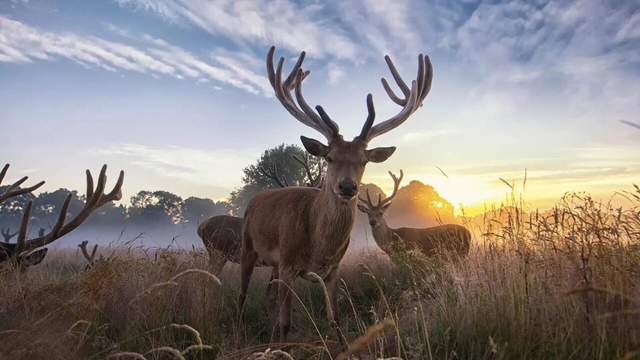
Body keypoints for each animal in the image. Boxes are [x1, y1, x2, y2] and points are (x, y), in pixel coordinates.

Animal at [240, 46, 436, 342]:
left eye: (364, 161)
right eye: (329, 157)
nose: (347, 187)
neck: (319, 247)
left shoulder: (333, 269)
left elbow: (335, 320)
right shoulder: (287, 263)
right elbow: (285, 324)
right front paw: (280, 344)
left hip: (272, 264)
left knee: (268, 296)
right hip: (247, 247)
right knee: (243, 295)